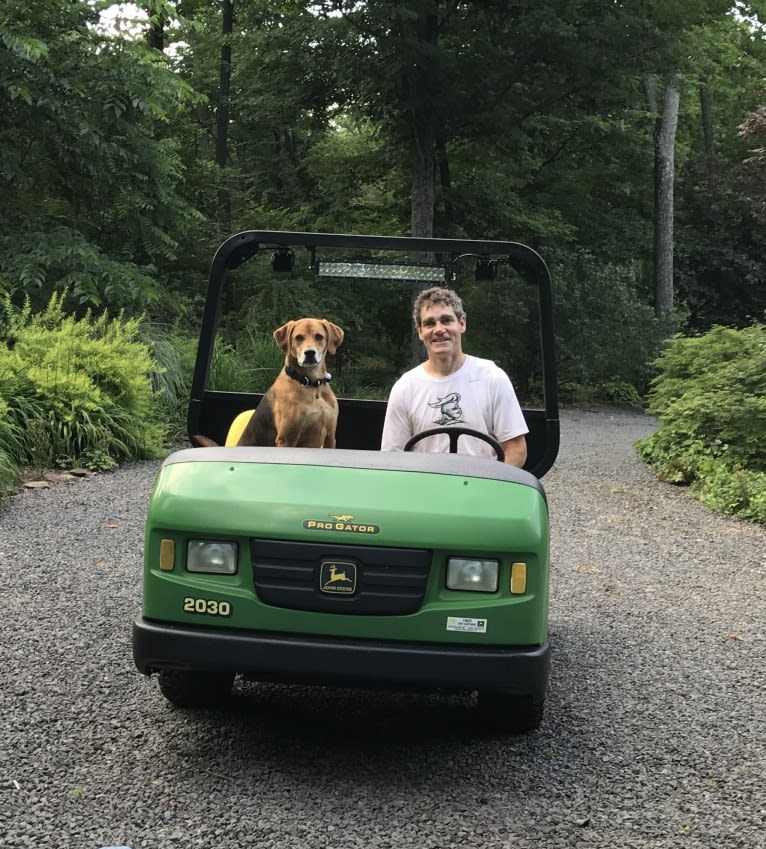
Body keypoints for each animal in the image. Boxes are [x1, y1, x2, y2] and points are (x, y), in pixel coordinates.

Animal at [195, 316, 344, 448]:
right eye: (299, 337)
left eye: (319, 336)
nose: (309, 353)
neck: (311, 385)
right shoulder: (287, 439)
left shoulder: (331, 437)